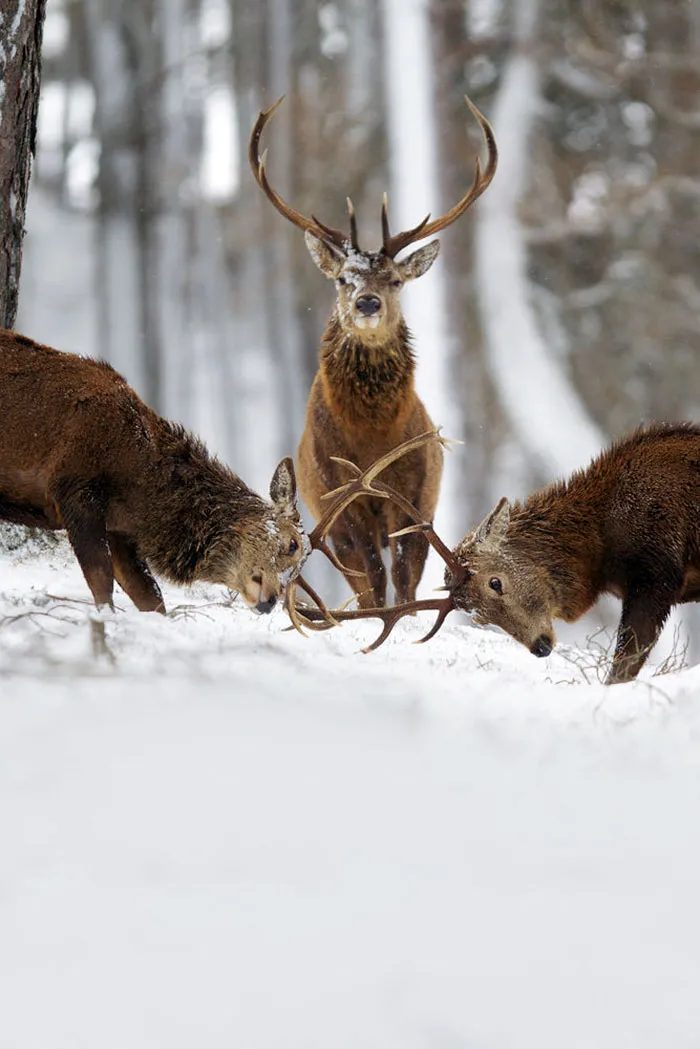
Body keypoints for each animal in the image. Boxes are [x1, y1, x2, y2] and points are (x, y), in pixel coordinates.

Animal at [0, 330, 309, 615]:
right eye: (292, 545)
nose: (271, 600)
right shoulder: (73, 485)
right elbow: (101, 579)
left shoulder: (120, 530)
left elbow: (150, 595)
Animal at [249, 95, 497, 608]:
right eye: (345, 278)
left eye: (396, 280)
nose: (367, 302)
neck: (372, 440)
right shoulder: (342, 500)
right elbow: (375, 577)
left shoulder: (416, 497)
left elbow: (404, 574)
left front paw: (406, 615)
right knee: (362, 579)